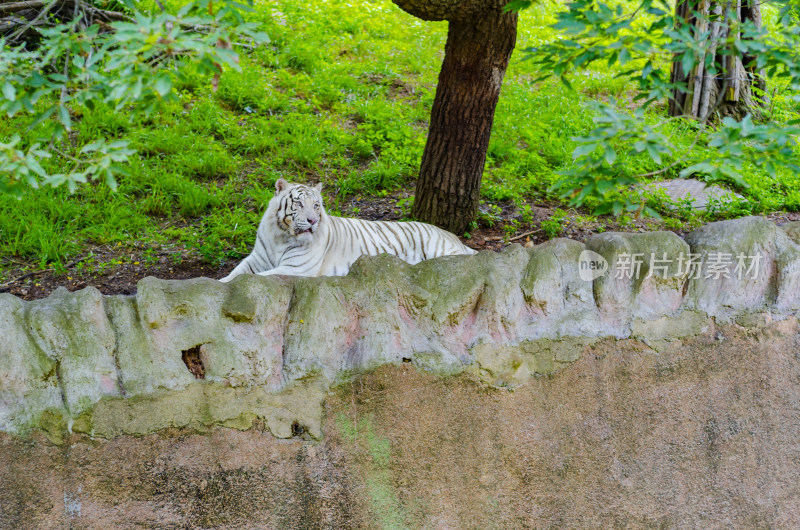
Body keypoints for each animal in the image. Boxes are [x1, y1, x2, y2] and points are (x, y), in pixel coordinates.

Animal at [220, 177, 476, 280]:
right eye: (299, 203)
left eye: (316, 205)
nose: (312, 221)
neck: (281, 236)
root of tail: (454, 236)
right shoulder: (256, 259)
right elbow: (235, 275)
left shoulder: (296, 268)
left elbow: (251, 278)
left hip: (440, 251)